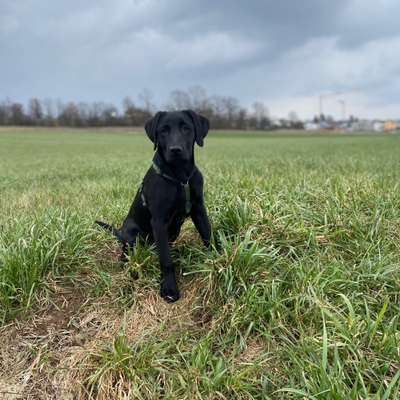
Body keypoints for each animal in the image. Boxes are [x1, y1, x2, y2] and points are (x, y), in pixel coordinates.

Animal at [95, 111, 211, 302]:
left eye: (186, 128)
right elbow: (166, 260)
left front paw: (220, 259)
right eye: (163, 131)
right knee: (127, 251)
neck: (180, 178)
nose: (175, 149)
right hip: (133, 233)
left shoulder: (199, 211)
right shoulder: (159, 221)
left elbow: (209, 236)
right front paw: (169, 289)